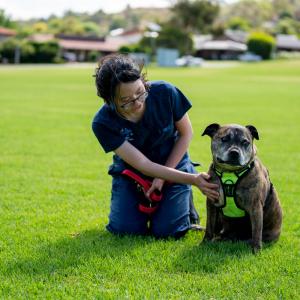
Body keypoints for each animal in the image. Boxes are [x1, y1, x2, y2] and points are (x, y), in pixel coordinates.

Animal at [202, 123, 282, 253]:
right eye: (224, 139)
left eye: (245, 142)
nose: (235, 152)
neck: (230, 173)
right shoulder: (212, 202)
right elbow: (209, 225)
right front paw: (204, 243)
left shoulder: (255, 206)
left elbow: (256, 231)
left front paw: (256, 250)